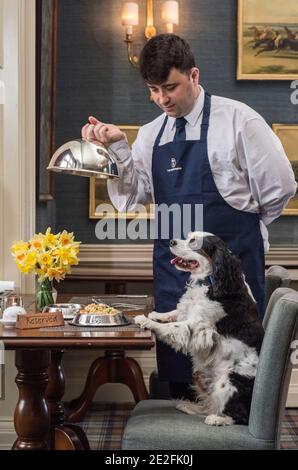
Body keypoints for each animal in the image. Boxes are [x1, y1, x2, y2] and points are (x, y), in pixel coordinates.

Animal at [134, 231, 264, 426]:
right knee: (210, 404)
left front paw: (147, 321)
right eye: (188, 236)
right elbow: (175, 313)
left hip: (229, 380)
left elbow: (173, 326)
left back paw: (217, 419)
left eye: (194, 242)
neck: (212, 280)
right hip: (200, 375)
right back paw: (189, 406)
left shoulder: (197, 326)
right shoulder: (189, 312)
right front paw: (156, 315)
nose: (171, 241)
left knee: (239, 416)